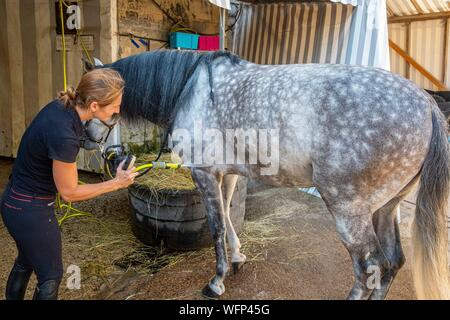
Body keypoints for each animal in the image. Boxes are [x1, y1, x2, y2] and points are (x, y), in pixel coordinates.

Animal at [84, 50, 450, 300]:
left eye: (91, 98)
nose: (92, 143)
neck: (190, 88)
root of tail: (428, 106)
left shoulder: (204, 174)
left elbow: (216, 226)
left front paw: (216, 281)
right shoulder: (228, 173)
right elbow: (228, 215)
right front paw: (237, 259)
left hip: (348, 210)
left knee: (369, 267)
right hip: (386, 208)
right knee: (392, 262)